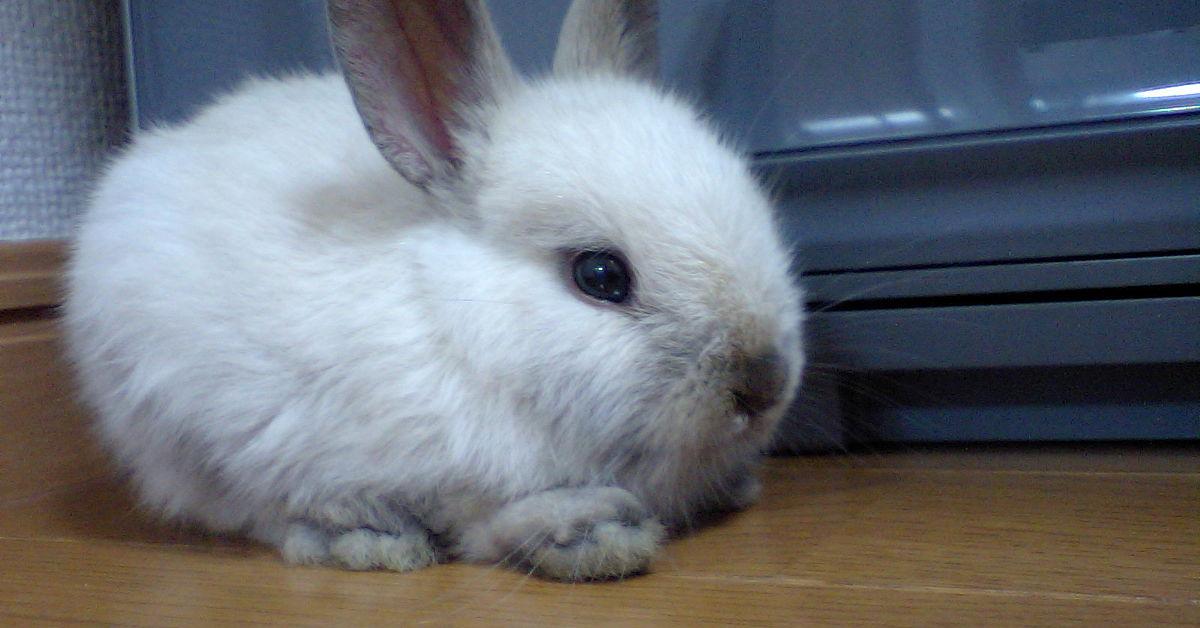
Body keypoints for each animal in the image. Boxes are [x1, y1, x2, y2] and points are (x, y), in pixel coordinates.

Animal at [60, 0, 801, 585]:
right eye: (599, 276)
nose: (764, 382)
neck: (458, 324)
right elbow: (480, 523)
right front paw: (593, 533)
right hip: (173, 431)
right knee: (254, 515)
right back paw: (366, 540)